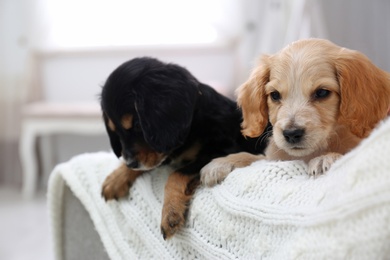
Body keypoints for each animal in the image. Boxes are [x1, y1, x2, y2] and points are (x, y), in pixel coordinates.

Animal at [100, 57, 268, 240]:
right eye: (115, 131)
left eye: (138, 125)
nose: (131, 163)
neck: (193, 125)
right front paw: (117, 178)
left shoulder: (223, 150)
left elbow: (176, 174)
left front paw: (170, 212)